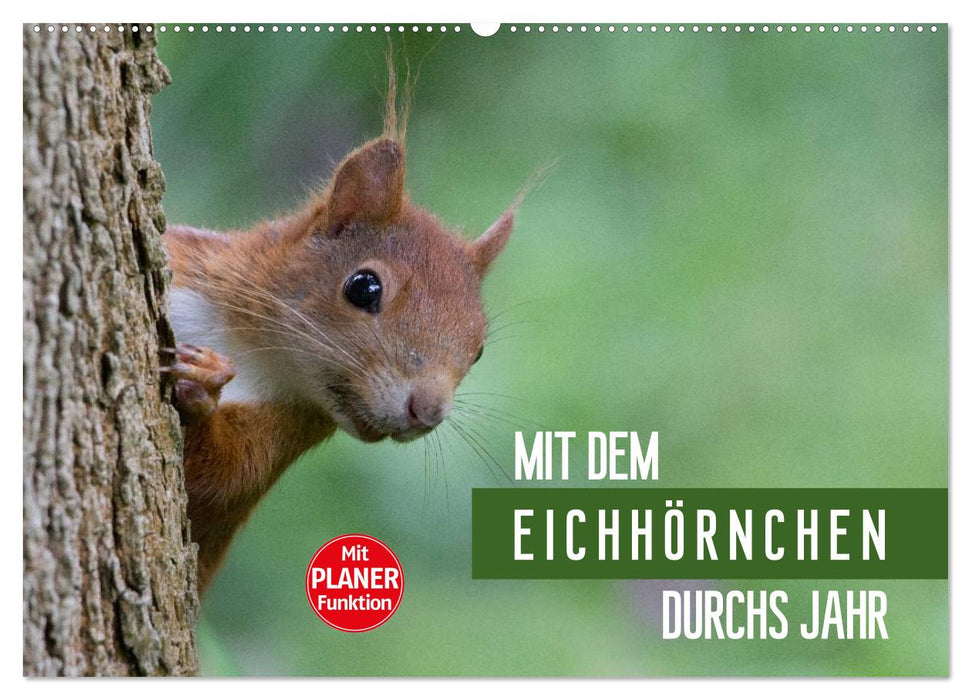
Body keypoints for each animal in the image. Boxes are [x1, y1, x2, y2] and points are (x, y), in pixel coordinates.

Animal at [162, 67, 520, 593]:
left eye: (477, 350)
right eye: (364, 287)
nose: (428, 412)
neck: (248, 346)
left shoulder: (282, 432)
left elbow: (216, 480)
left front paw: (203, 387)